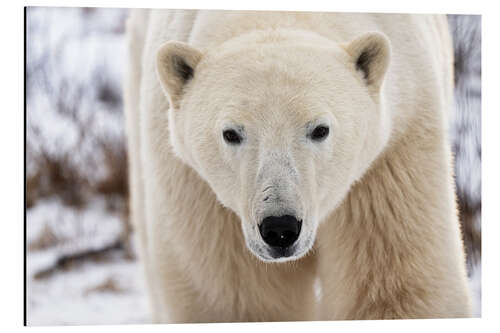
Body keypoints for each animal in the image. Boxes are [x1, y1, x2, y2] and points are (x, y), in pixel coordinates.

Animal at [125, 9, 472, 322]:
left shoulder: (395, 151)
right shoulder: (199, 192)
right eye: (231, 133)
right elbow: (237, 298)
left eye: (319, 129)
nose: (280, 228)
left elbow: (398, 289)